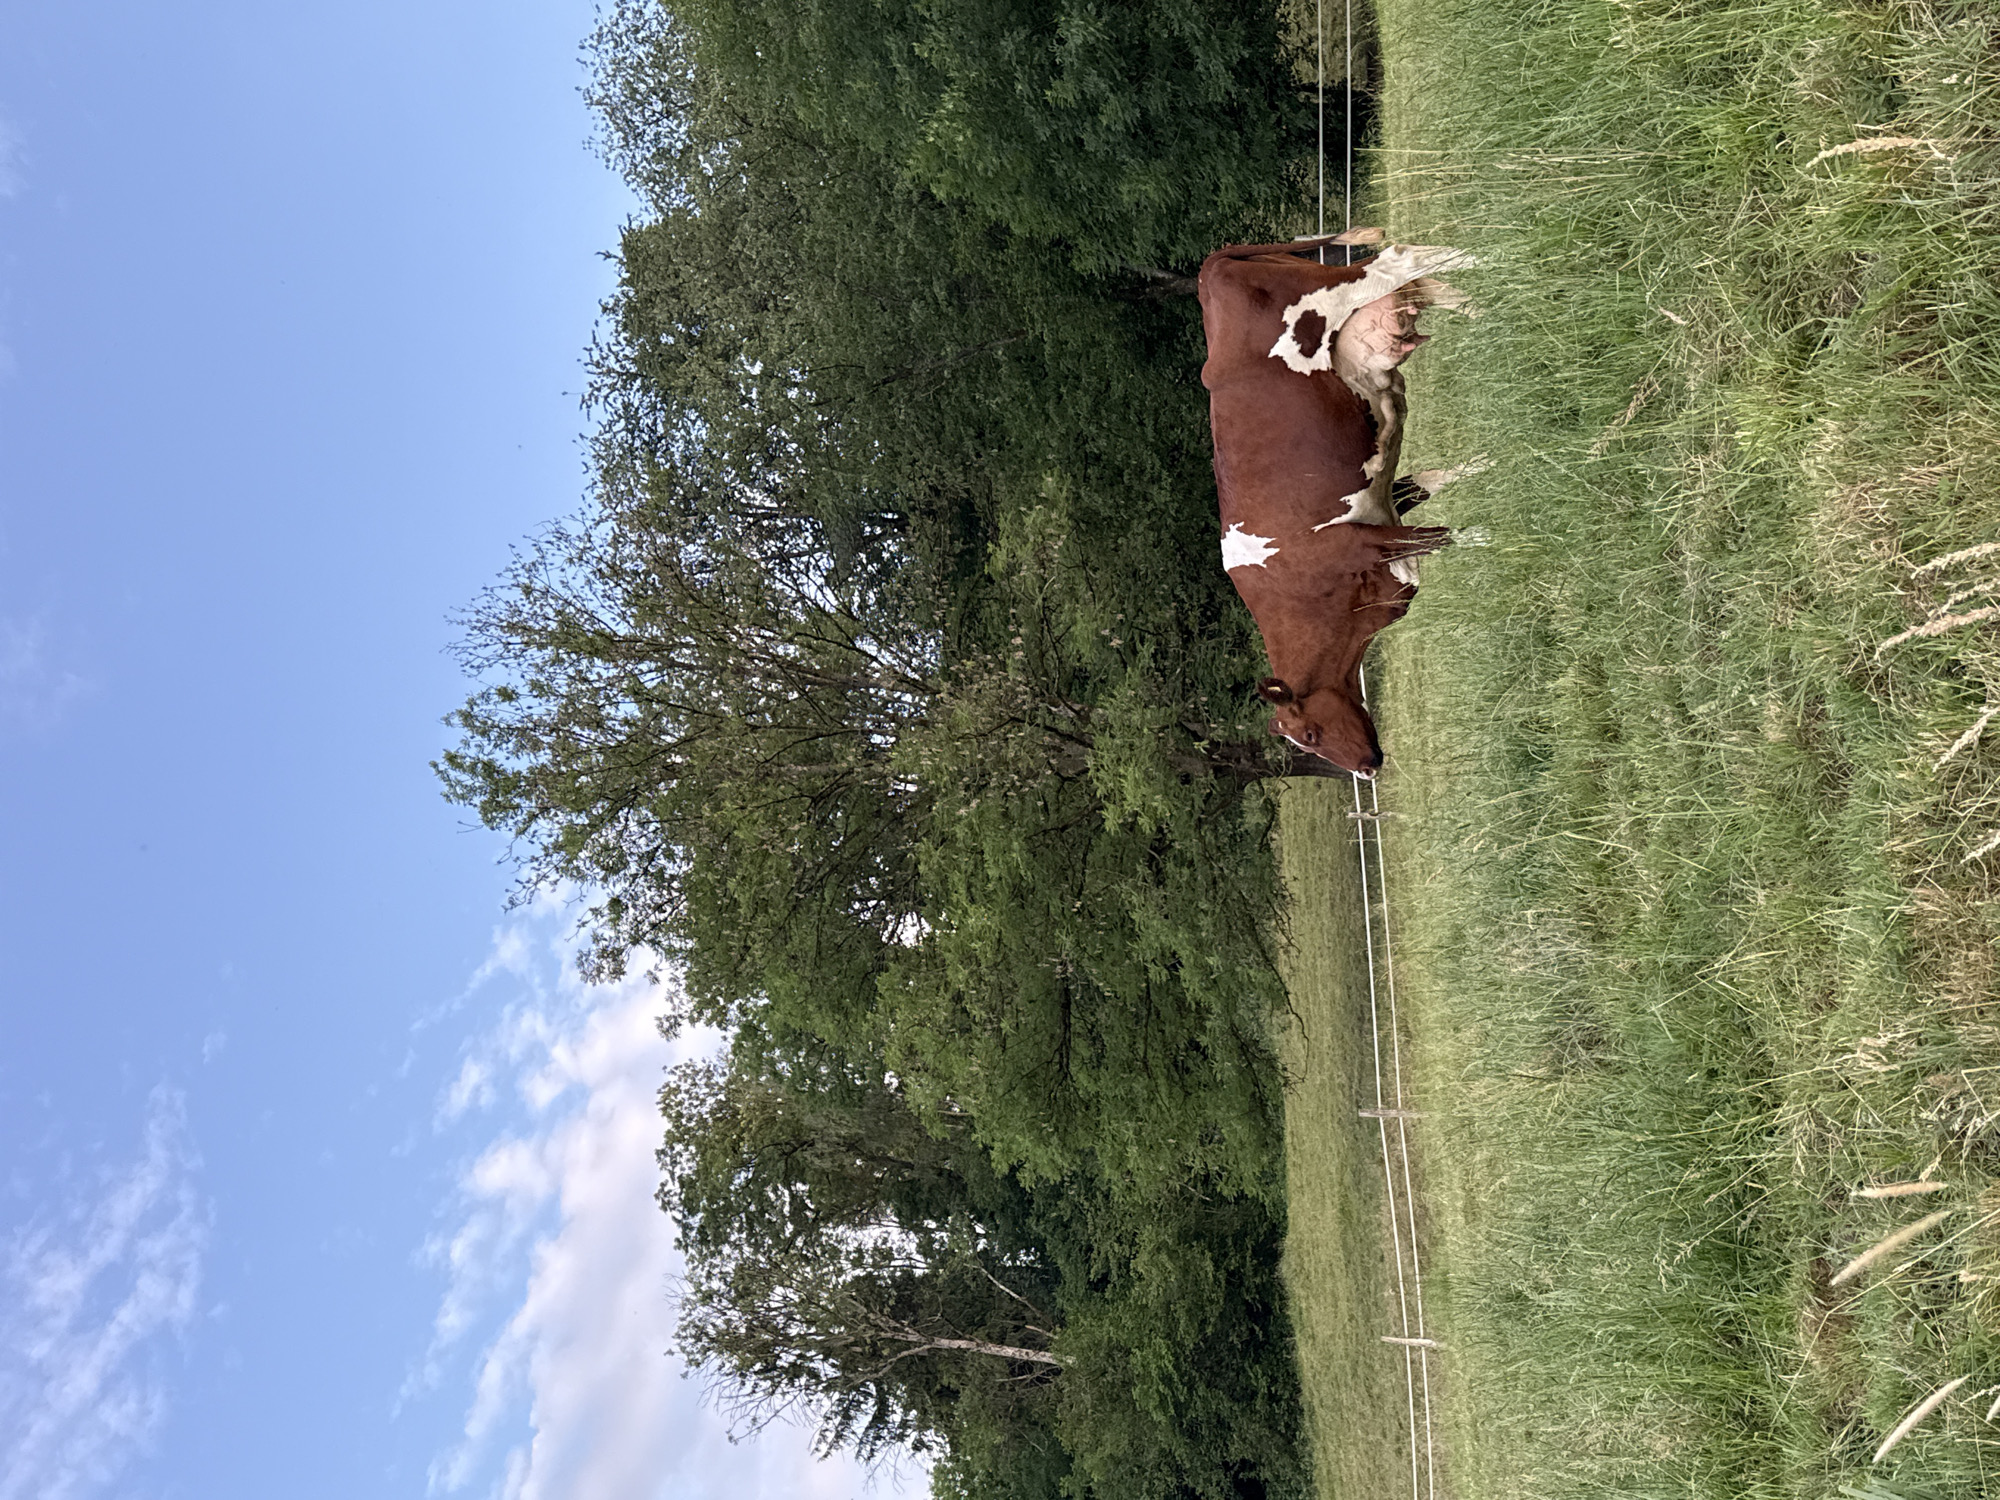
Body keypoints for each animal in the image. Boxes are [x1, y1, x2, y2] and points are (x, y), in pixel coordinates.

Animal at [1198, 232, 1472, 777]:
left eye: (1309, 734)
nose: (1367, 768)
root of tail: (1209, 267)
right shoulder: (1387, 503)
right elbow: (1439, 480)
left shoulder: (1366, 540)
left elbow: (1460, 535)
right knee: (1425, 277)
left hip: (1339, 291)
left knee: (1403, 259)